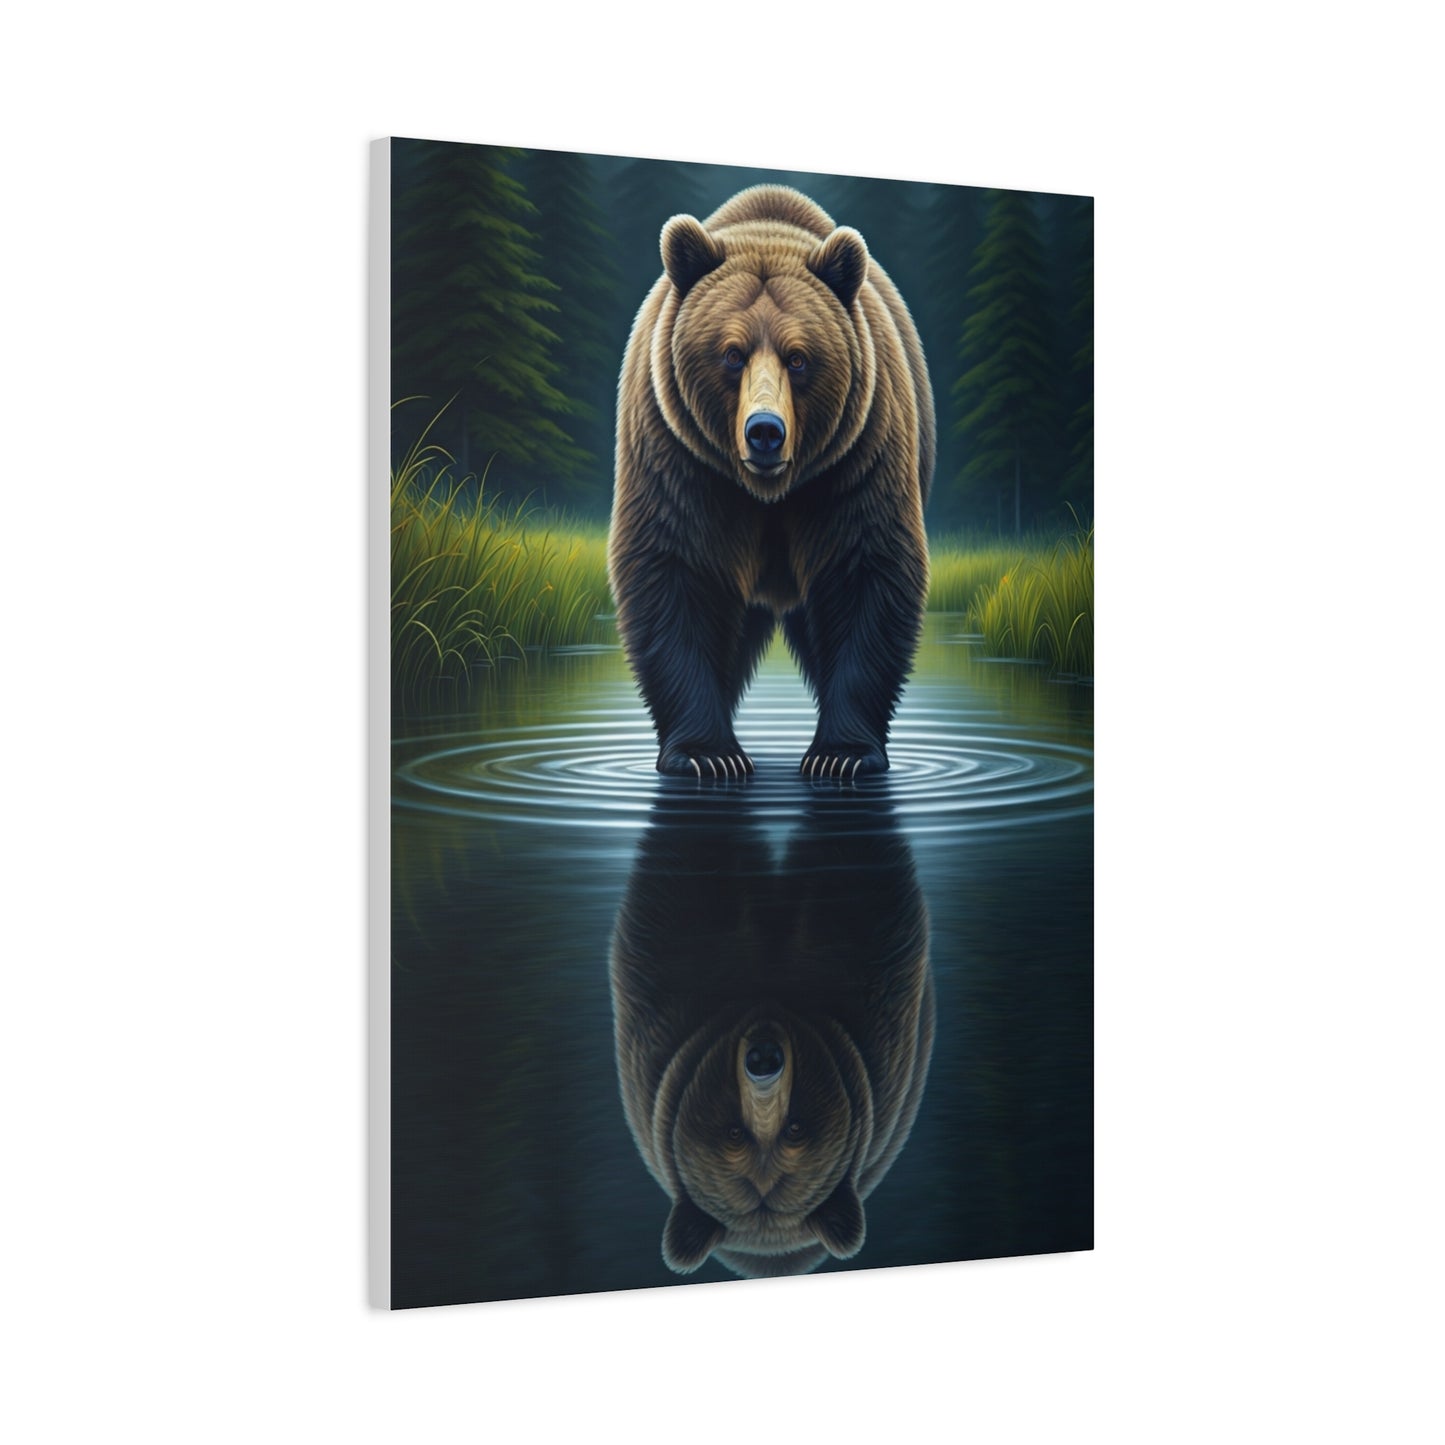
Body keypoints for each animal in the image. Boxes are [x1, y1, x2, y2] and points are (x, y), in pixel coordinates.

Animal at [608, 184, 934, 779]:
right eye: (732, 354)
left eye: (799, 358)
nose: (765, 431)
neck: (767, 492)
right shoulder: (681, 458)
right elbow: (674, 571)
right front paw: (707, 755)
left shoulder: (856, 458)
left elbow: (867, 568)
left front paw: (841, 755)